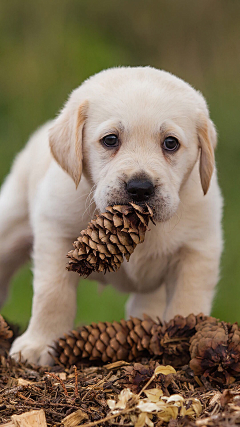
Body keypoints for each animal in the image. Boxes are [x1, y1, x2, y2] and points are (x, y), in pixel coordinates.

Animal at [0, 66, 223, 364]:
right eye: (110, 140)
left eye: (170, 143)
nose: (140, 188)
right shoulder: (56, 232)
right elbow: (53, 295)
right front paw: (39, 344)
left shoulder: (198, 251)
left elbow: (187, 303)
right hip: (10, 226)